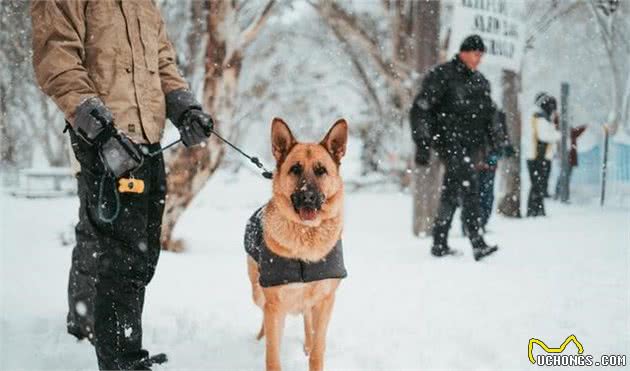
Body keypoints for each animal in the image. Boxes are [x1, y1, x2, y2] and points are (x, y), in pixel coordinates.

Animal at [246, 118, 350, 371]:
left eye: (321, 171)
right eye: (295, 169)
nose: (308, 197)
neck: (306, 235)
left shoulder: (324, 301)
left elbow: (318, 350)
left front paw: (312, 351)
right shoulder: (274, 304)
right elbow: (272, 356)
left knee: (306, 319)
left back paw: (306, 344)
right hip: (258, 293)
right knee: (265, 317)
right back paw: (259, 340)